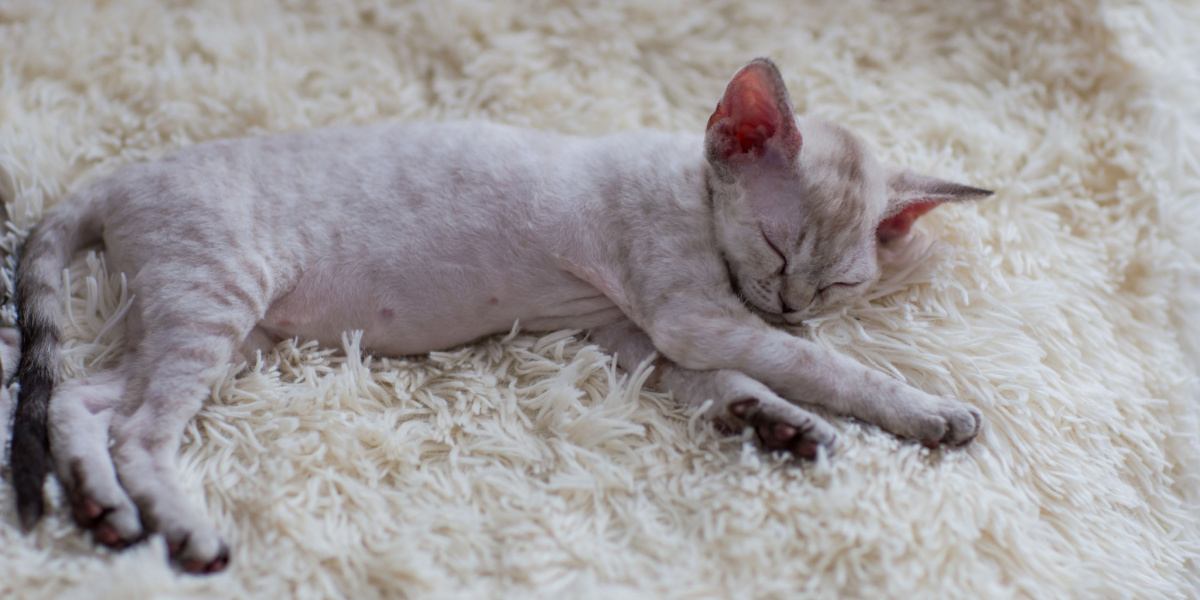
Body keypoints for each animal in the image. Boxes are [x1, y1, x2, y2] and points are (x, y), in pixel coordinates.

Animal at [4, 58, 988, 573]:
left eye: (840, 286)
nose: (790, 308)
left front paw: (773, 422)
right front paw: (929, 411)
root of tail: (113, 181)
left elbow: (722, 382)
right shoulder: (683, 314)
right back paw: (182, 528)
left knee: (80, 400)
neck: (692, 192)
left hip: (217, 327)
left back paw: (101, 507)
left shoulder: (635, 332)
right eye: (779, 249)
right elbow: (827, 370)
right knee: (138, 429)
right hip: (215, 303)